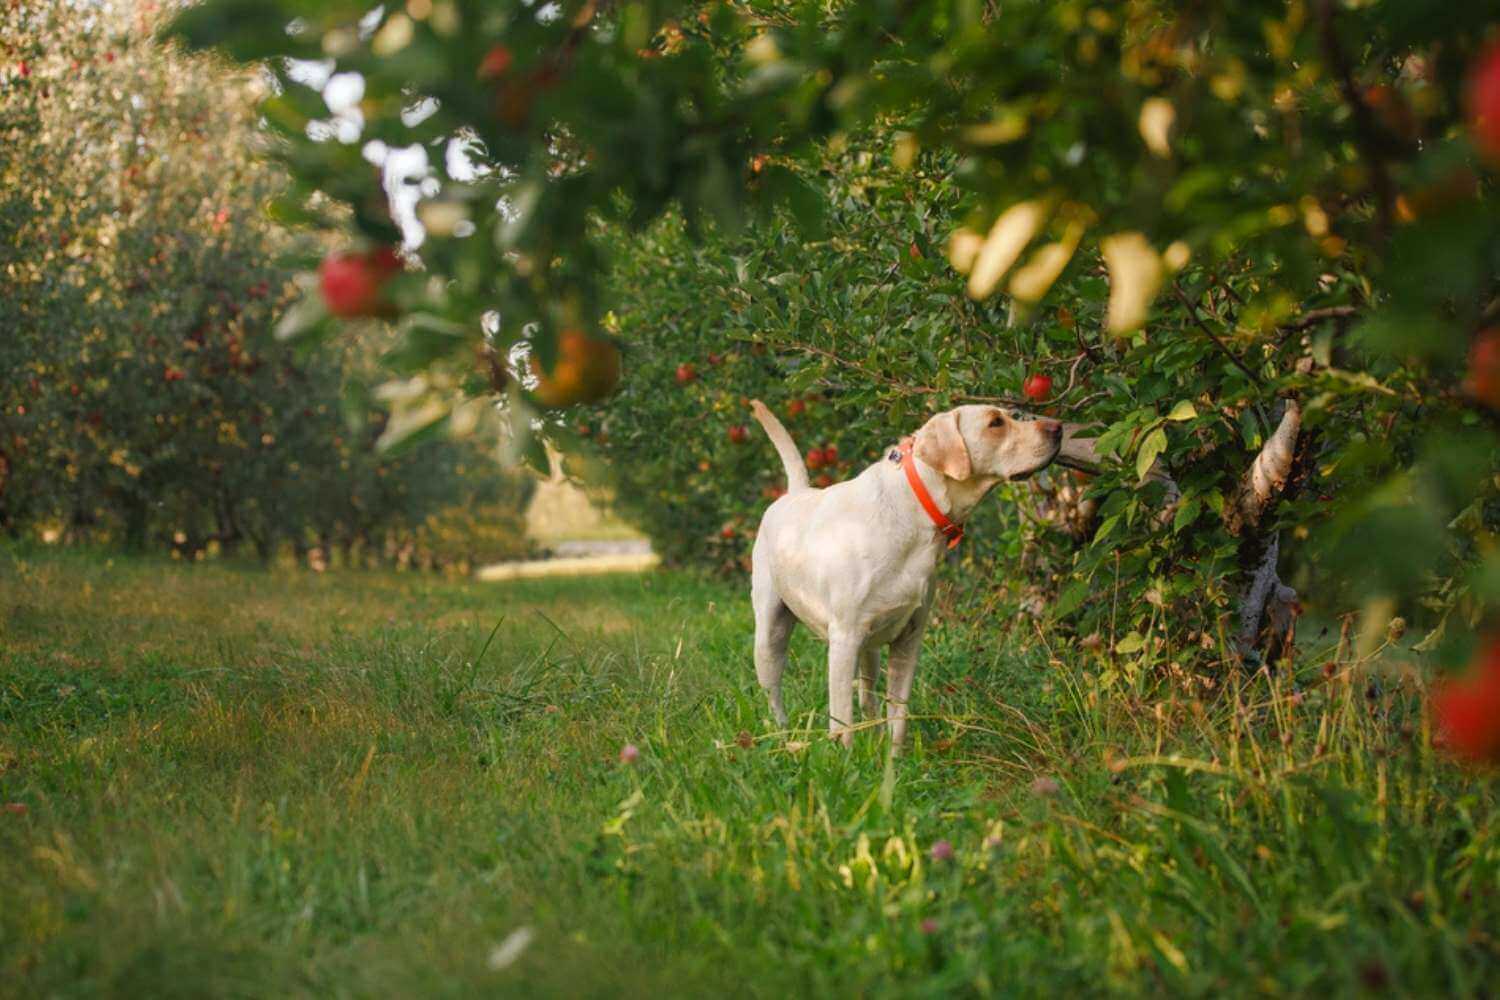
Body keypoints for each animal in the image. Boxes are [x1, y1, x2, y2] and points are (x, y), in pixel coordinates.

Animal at [744, 398, 1062, 743]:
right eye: (995, 423)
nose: (1058, 427)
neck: (914, 512)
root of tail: (795, 492)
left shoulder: (909, 640)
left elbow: (898, 719)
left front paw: (893, 755)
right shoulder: (844, 639)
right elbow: (842, 723)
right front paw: (844, 753)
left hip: (869, 650)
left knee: (867, 695)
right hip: (770, 637)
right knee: (774, 694)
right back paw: (781, 736)